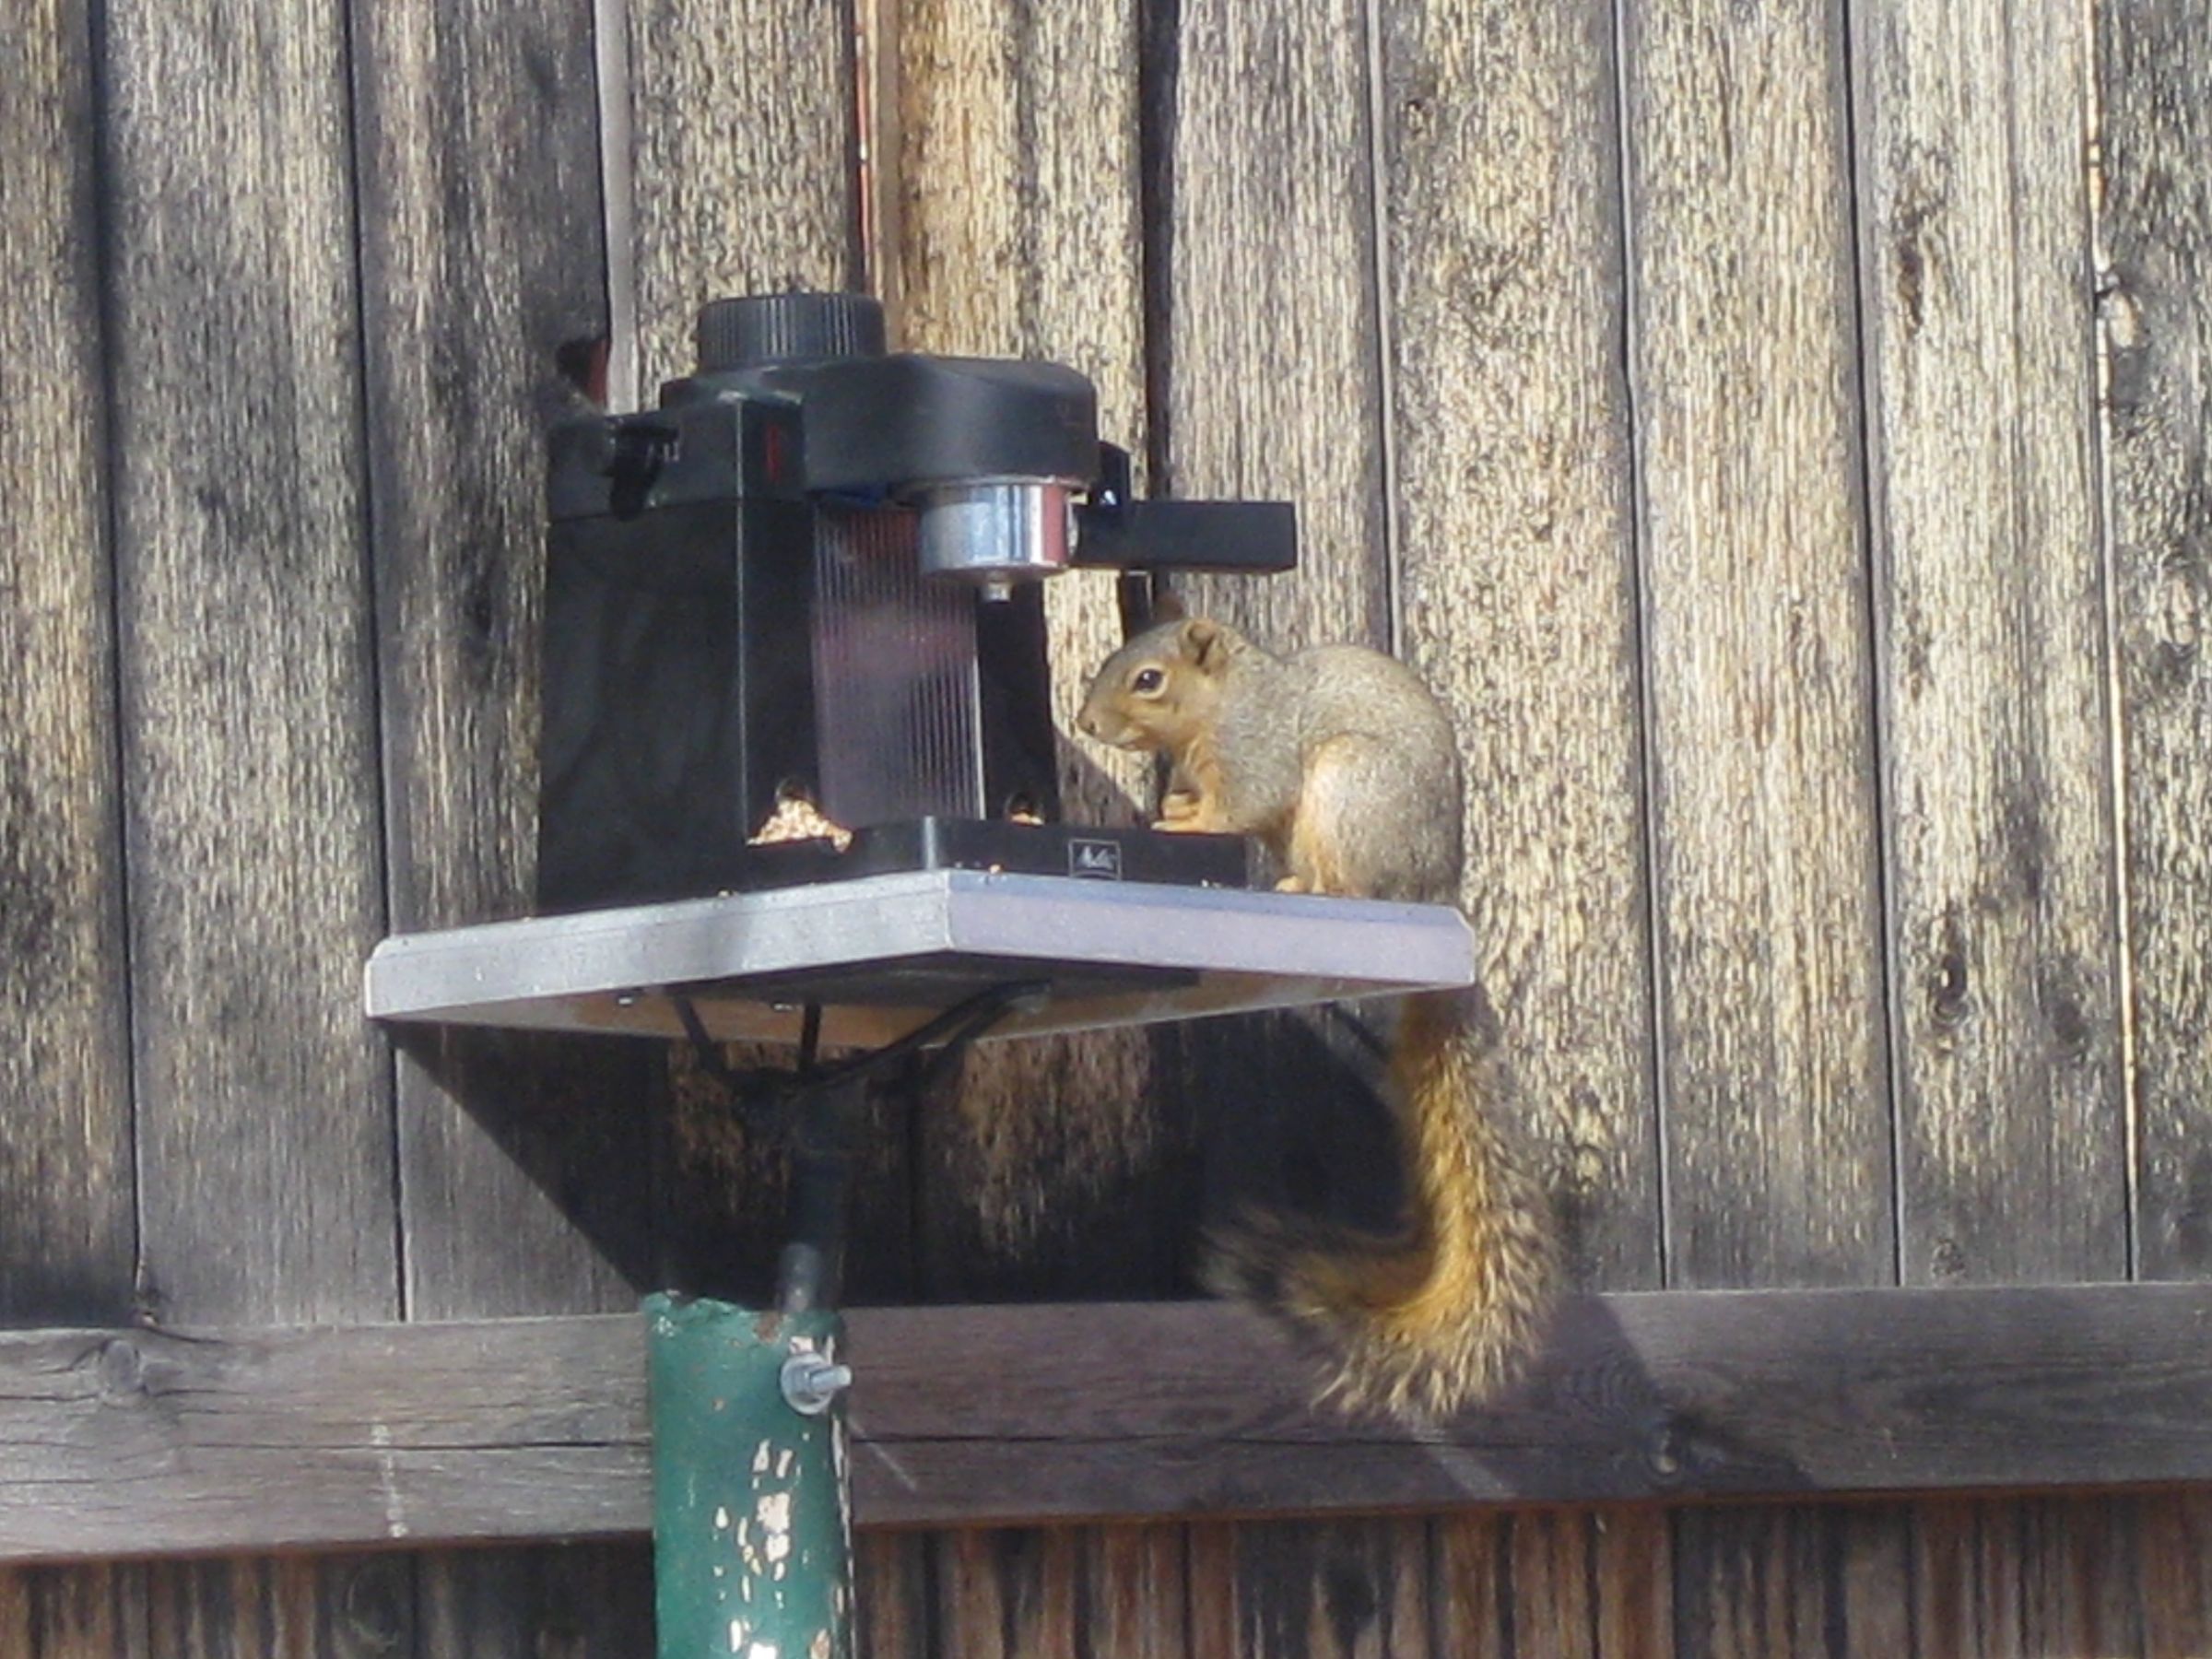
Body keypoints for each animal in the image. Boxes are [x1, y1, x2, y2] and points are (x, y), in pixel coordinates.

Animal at [1076, 613, 1557, 1421]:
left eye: (1148, 679)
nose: (1085, 723)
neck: (1224, 701)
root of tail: (1436, 894)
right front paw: (1179, 808)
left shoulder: (1258, 750)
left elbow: (1243, 803)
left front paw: (1192, 822)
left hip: (1350, 787)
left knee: (1355, 883)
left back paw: (1320, 887)